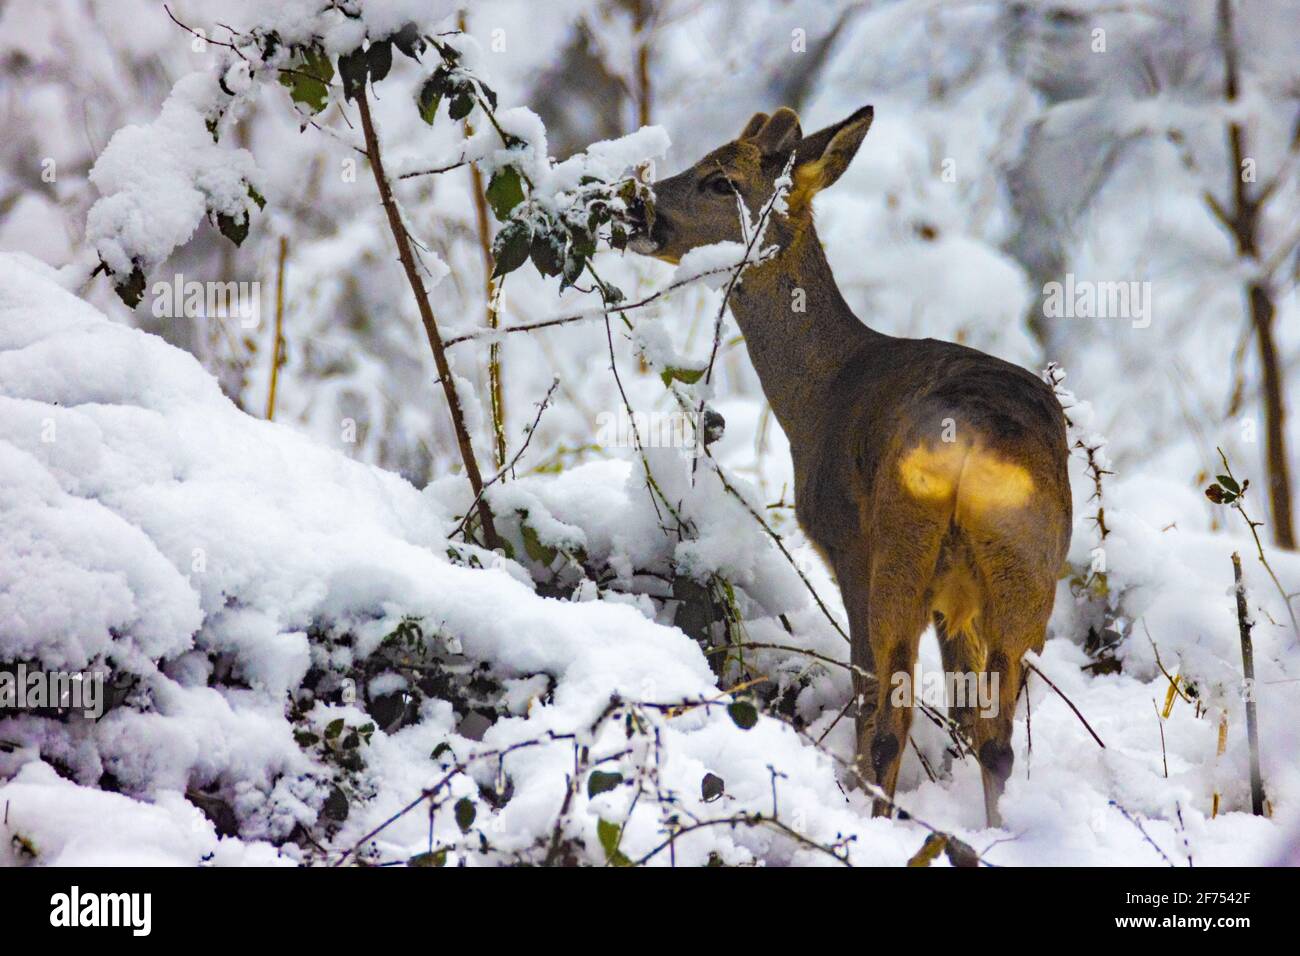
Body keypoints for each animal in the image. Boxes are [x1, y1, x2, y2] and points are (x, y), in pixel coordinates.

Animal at [627, 106, 1072, 828]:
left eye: (720, 180)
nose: (636, 208)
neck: (818, 395)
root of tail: (969, 450)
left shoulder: (842, 541)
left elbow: (872, 697)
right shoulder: (956, 599)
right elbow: (963, 715)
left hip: (897, 547)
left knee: (889, 715)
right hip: (1027, 570)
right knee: (996, 736)